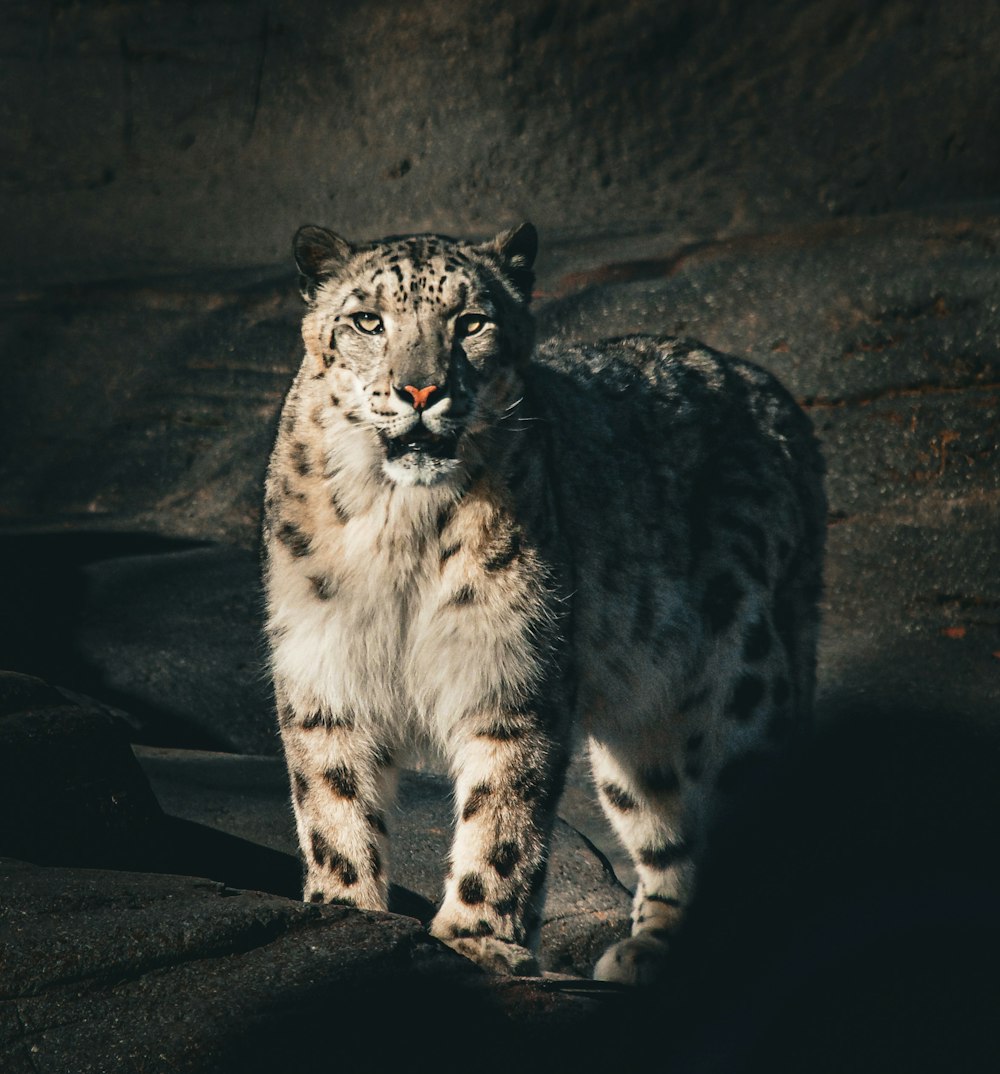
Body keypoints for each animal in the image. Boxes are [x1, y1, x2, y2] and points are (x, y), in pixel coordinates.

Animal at [262, 222, 824, 983]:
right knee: (668, 823)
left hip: (744, 678)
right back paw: (649, 952)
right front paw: (345, 909)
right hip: (643, 730)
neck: (401, 526)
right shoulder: (325, 662)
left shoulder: (511, 666)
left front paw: (476, 936)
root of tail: (774, 395)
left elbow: (502, 819)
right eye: (367, 320)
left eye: (472, 322)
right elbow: (333, 802)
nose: (420, 388)